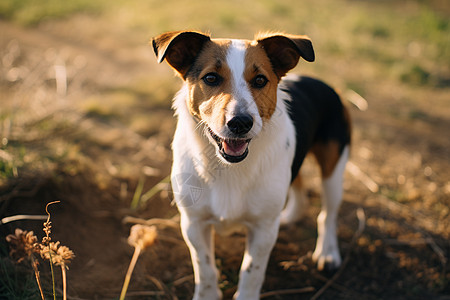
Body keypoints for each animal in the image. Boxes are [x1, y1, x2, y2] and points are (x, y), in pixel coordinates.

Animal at [151, 31, 352, 300]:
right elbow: (205, 268)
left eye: (260, 80)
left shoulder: (263, 229)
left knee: (327, 214)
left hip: (334, 169)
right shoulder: (193, 223)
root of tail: (326, 85)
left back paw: (328, 253)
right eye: (211, 78)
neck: (229, 167)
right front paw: (207, 294)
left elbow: (251, 271)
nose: (240, 123)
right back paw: (290, 216)